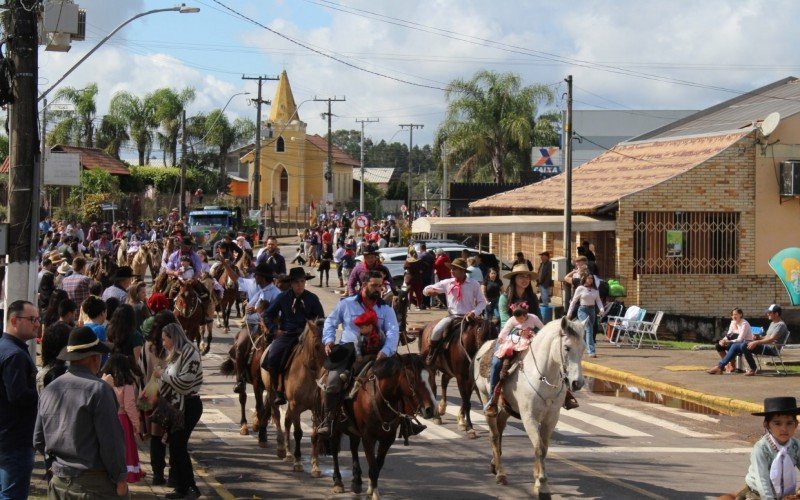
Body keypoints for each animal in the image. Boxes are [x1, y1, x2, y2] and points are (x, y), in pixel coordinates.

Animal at [260, 320, 326, 476]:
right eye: (317, 346)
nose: (325, 370)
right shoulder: (296, 406)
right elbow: (298, 433)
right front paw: (298, 462)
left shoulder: (315, 409)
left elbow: (314, 435)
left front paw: (315, 466)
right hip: (273, 395)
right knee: (277, 416)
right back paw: (281, 448)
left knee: (287, 421)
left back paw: (289, 453)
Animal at [328, 354, 434, 500]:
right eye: (412, 378)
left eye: (430, 376)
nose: (430, 410)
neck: (380, 398)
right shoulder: (368, 438)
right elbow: (373, 467)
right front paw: (374, 494)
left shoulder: (387, 439)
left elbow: (377, 465)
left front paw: (371, 489)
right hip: (335, 425)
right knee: (334, 449)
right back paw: (338, 481)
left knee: (353, 447)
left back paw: (357, 481)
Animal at [468, 316, 588, 496]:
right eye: (566, 347)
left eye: (583, 348)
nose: (577, 383)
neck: (542, 376)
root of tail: (484, 346)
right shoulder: (529, 417)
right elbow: (539, 448)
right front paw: (542, 485)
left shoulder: (551, 418)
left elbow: (544, 448)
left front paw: (538, 478)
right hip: (486, 400)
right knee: (494, 435)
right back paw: (501, 474)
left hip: (507, 407)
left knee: (500, 428)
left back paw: (495, 465)